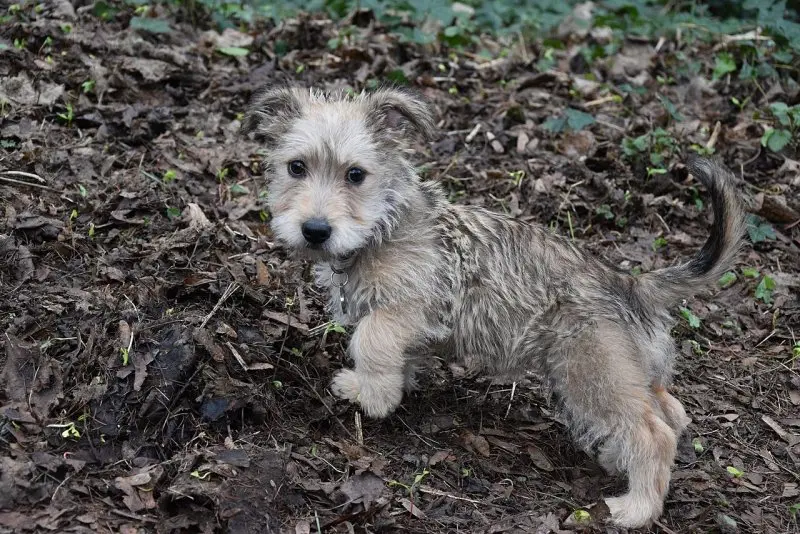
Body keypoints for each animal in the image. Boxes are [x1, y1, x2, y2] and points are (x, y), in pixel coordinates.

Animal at [241, 86, 748, 528]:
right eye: (296, 167)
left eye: (355, 175)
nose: (315, 230)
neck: (383, 225)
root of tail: (629, 283)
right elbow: (396, 355)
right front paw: (378, 386)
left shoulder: (408, 309)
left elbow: (371, 339)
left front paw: (375, 396)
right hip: (630, 374)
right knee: (671, 413)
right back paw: (615, 457)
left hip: (592, 375)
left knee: (653, 433)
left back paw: (636, 508)